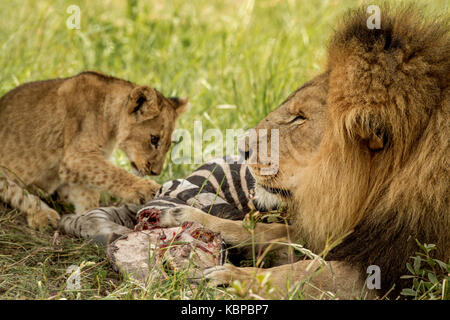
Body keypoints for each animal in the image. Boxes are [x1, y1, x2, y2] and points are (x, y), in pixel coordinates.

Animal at [0, 71, 186, 229]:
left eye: (168, 145)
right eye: (154, 139)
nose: (155, 172)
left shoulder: (79, 166)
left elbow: (89, 193)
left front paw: (88, 217)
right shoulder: (75, 157)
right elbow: (112, 173)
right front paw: (147, 189)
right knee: (17, 193)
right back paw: (44, 216)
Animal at [150, 6, 446, 298]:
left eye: (298, 118)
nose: (242, 149)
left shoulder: (394, 271)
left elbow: (306, 273)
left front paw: (232, 278)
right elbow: (270, 231)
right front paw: (186, 217)